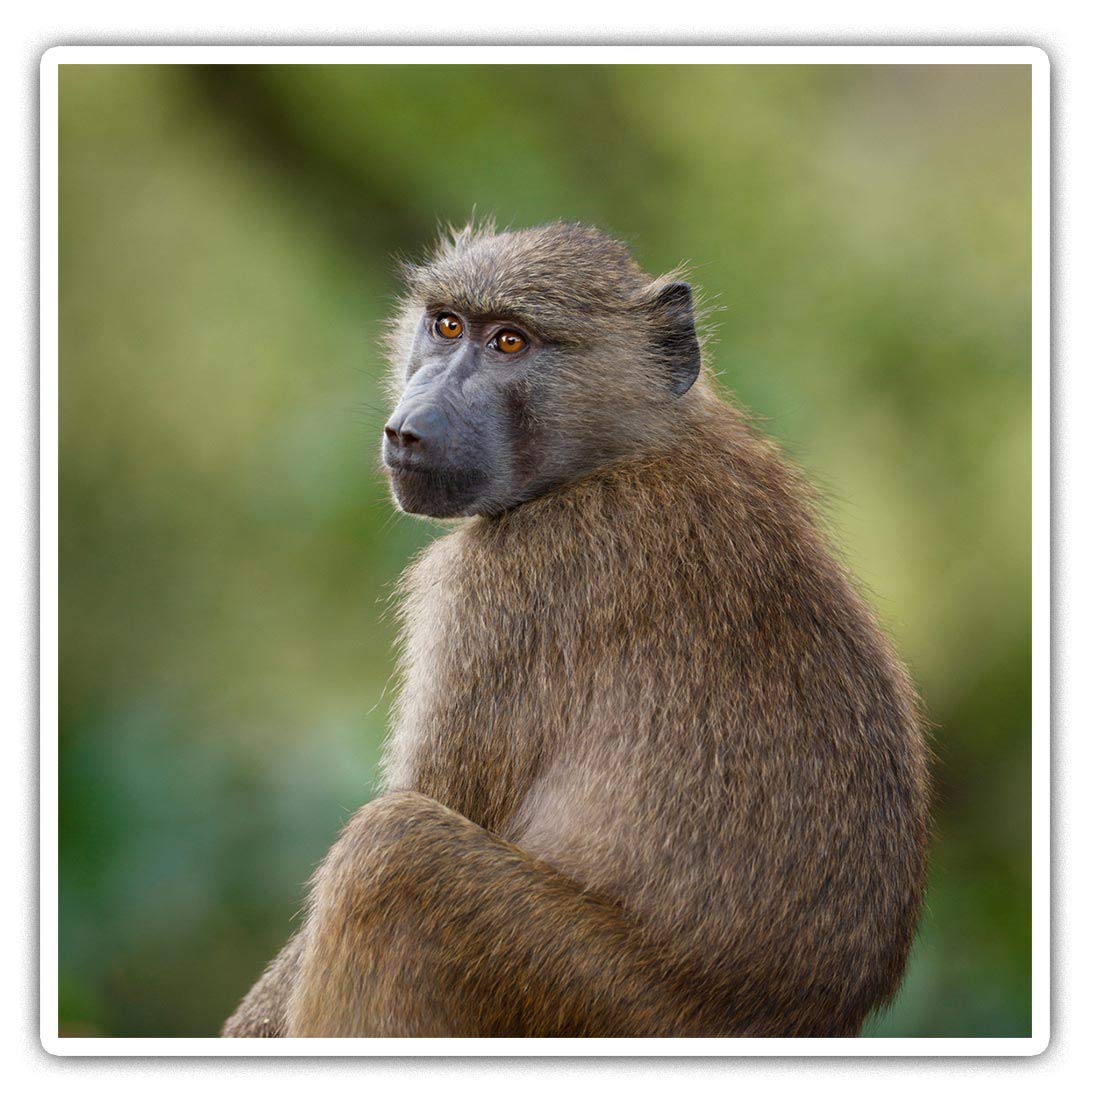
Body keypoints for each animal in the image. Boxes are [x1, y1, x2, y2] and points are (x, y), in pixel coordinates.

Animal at [222, 221, 929, 1039]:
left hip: (580, 992)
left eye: (511, 342)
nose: (409, 429)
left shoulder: (502, 590)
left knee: (392, 852)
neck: (621, 451)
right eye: (448, 325)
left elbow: (436, 797)